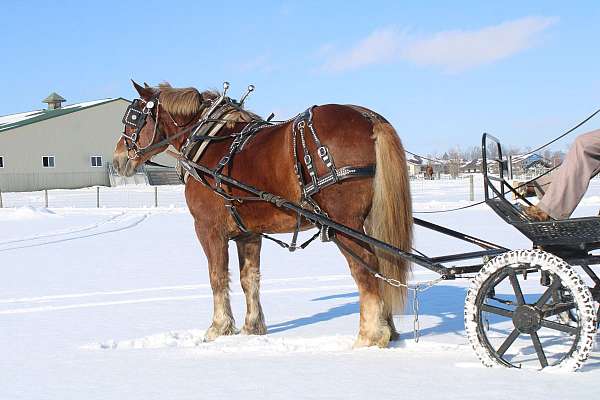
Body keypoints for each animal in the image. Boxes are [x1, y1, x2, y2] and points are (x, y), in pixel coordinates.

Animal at [112, 81, 412, 346]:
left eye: (133, 119)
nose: (117, 160)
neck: (209, 143)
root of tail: (368, 118)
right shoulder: (249, 234)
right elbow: (249, 279)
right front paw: (252, 327)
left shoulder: (208, 229)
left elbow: (217, 276)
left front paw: (218, 328)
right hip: (370, 220)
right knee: (383, 262)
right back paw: (389, 329)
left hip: (343, 223)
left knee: (365, 266)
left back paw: (370, 336)